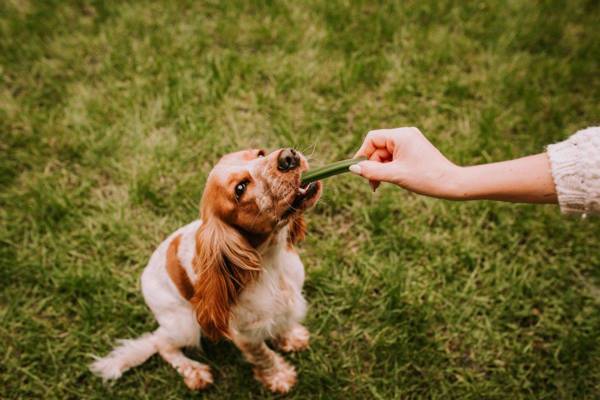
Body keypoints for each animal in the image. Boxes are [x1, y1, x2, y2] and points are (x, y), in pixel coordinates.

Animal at [89, 148, 322, 394]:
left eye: (260, 153)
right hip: (185, 324)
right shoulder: (245, 334)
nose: (288, 157)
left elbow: (283, 322)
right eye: (240, 188)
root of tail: (144, 277)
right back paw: (195, 372)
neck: (270, 261)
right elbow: (263, 356)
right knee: (160, 343)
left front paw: (292, 337)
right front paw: (279, 377)